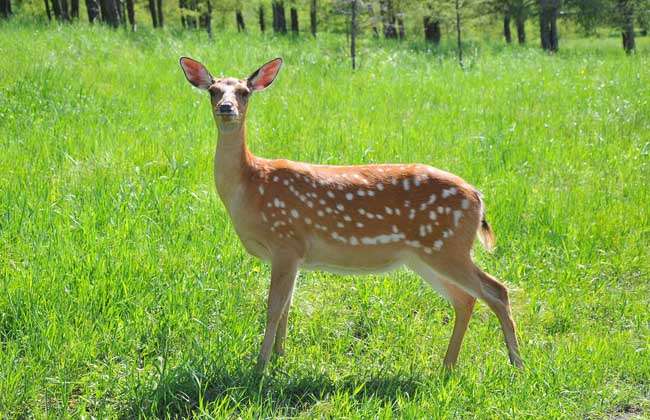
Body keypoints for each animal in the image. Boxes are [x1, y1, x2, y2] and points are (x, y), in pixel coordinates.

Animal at [179, 56, 523, 373]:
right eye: (213, 90)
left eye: (244, 92)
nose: (226, 108)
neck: (249, 185)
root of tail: (477, 196)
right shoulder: (295, 255)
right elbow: (288, 306)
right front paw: (280, 358)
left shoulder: (286, 241)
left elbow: (274, 307)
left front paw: (260, 366)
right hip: (424, 255)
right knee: (465, 299)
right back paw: (447, 366)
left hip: (447, 246)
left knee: (497, 290)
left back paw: (516, 364)